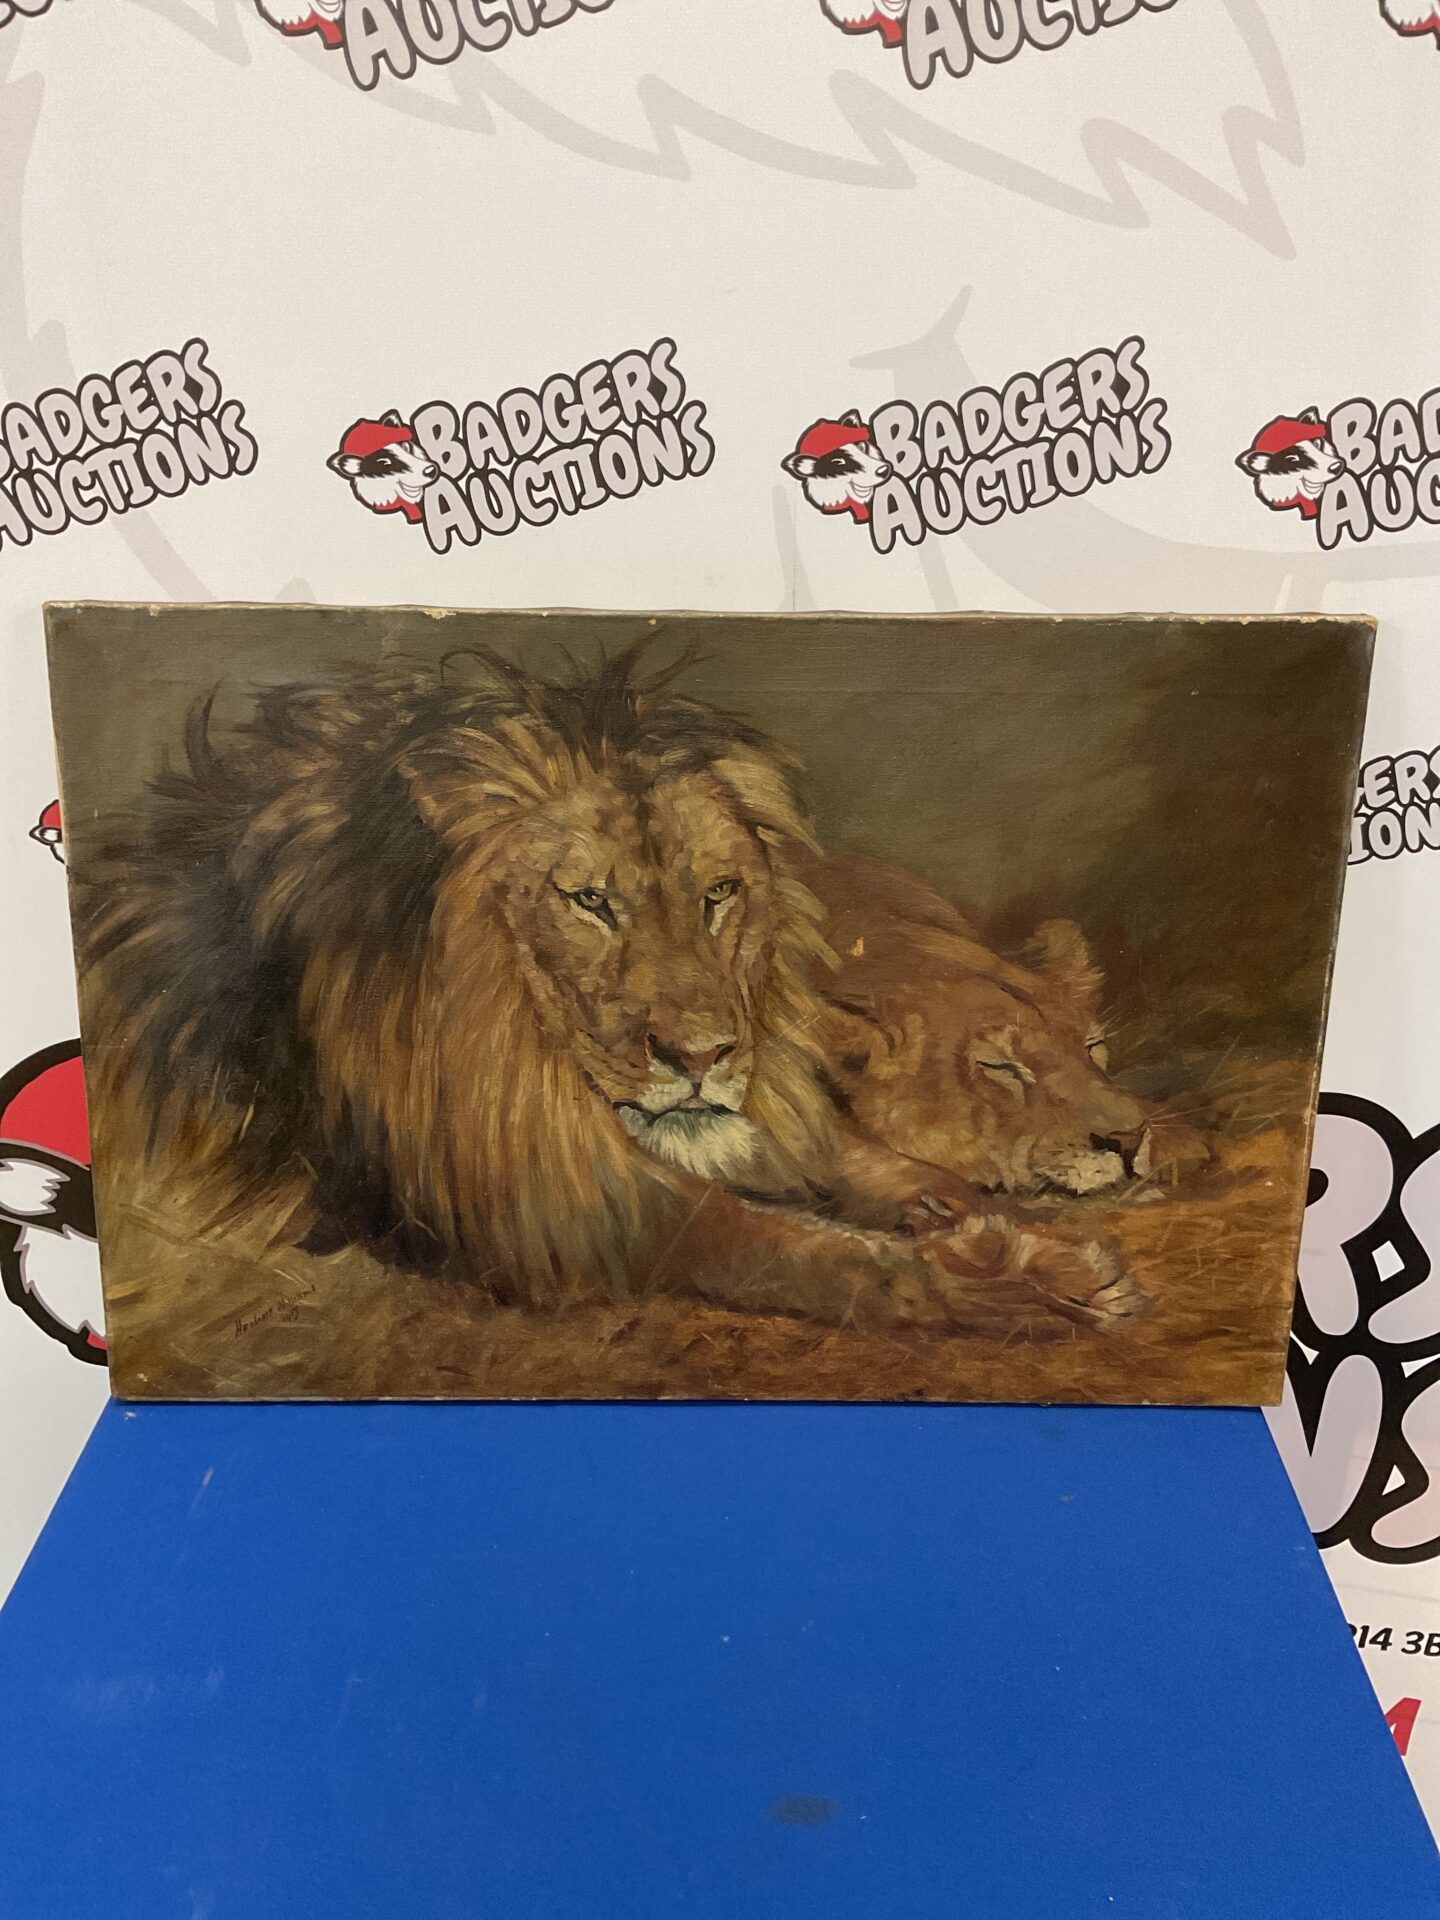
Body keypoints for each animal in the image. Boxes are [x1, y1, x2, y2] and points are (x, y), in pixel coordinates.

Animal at [76, 645, 1142, 1356]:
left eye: (720, 894)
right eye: (590, 902)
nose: (703, 1057)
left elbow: (820, 1143)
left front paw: (930, 1194)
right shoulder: (536, 1203)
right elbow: (782, 1246)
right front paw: (1034, 1282)